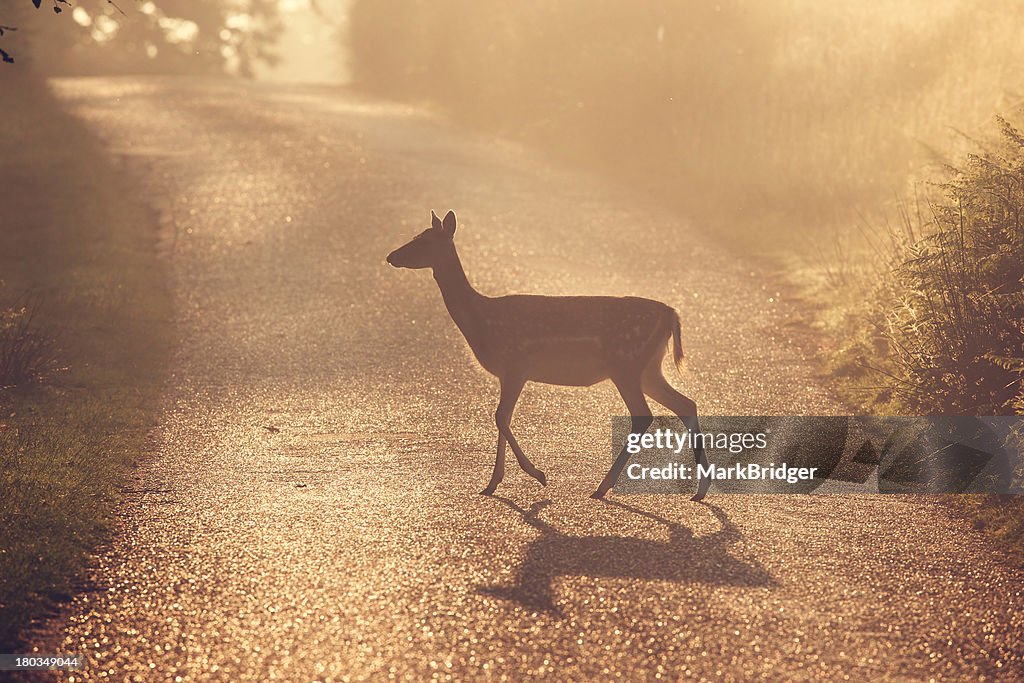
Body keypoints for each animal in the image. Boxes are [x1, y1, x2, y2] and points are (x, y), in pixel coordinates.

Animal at [387, 209, 708, 501]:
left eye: (424, 240)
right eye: (417, 235)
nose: (391, 256)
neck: (481, 320)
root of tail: (671, 314)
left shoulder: (516, 363)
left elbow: (500, 416)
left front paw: (537, 474)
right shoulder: (506, 372)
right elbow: (502, 417)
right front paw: (492, 484)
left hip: (626, 362)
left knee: (644, 414)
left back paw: (602, 487)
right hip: (648, 368)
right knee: (686, 404)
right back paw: (699, 490)